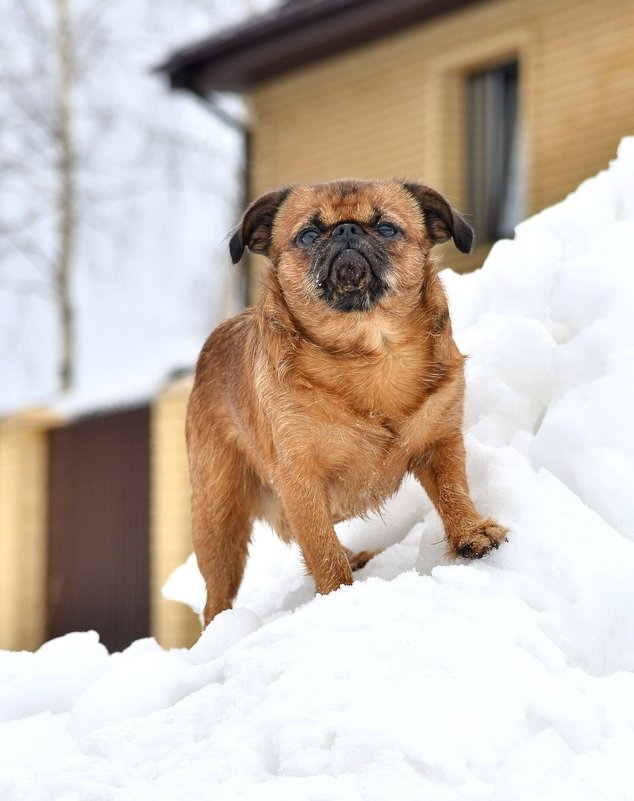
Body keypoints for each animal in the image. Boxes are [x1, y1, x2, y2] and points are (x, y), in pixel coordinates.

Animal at [185, 178, 506, 620]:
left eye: (387, 228)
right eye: (307, 234)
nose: (347, 230)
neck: (368, 350)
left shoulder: (440, 443)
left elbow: (453, 491)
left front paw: (470, 533)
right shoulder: (300, 479)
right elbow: (321, 547)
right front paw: (338, 595)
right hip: (218, 515)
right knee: (217, 595)